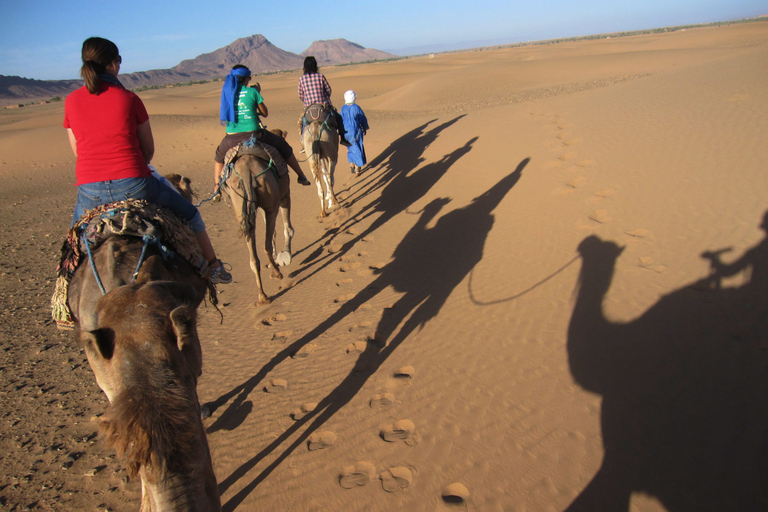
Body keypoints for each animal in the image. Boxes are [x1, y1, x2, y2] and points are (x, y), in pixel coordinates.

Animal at [222, 142, 296, 306]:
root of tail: (246, 171)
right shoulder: (285, 195)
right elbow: (288, 228)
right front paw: (286, 254)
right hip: (271, 203)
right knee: (266, 244)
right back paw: (276, 273)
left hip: (241, 205)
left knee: (253, 257)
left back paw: (262, 296)